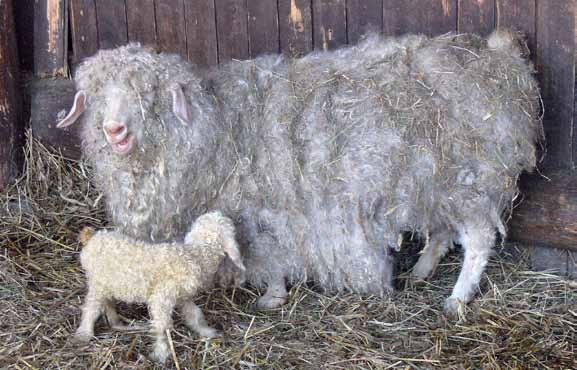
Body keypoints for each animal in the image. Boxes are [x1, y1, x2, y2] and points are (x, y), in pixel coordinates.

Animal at [57, 29, 540, 316]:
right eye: (94, 95)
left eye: (151, 95)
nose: (114, 130)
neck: (219, 126)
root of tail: (502, 61)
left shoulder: (263, 214)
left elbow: (269, 255)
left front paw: (273, 295)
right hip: (434, 182)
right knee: (441, 229)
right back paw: (421, 270)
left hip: (471, 180)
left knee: (478, 238)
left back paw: (457, 298)